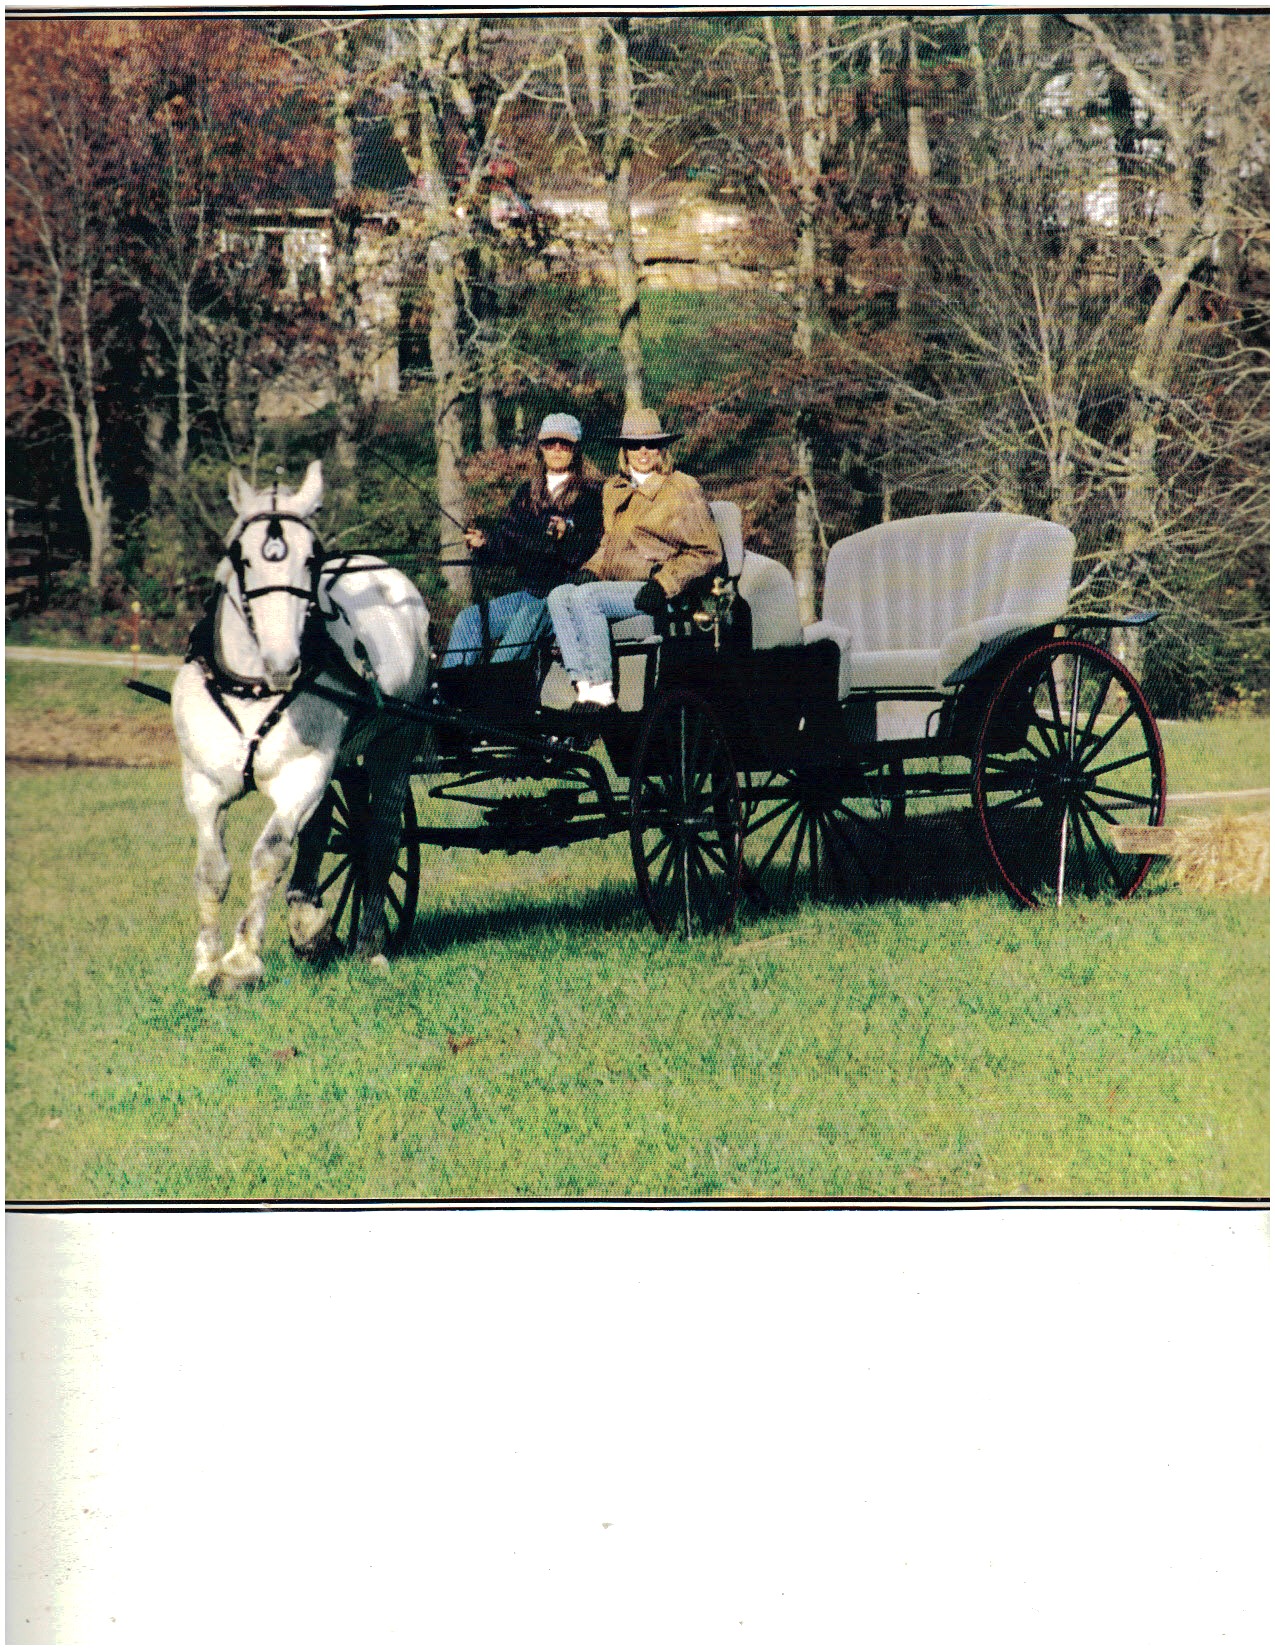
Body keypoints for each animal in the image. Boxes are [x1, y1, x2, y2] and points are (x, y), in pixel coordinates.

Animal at [171, 461, 431, 994]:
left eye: (312, 558)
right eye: (241, 556)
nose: (283, 662)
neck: (252, 688)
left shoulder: (302, 773)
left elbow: (269, 855)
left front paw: (242, 962)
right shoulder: (203, 786)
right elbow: (212, 872)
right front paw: (206, 964)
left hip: (394, 746)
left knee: (380, 840)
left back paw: (368, 944)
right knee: (324, 827)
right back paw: (309, 919)